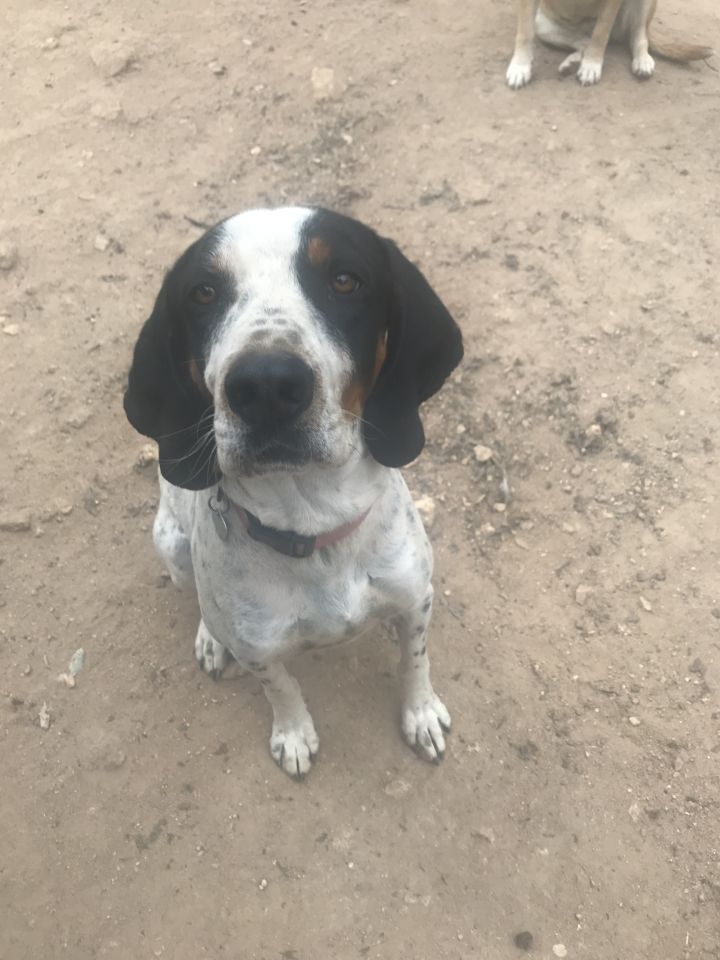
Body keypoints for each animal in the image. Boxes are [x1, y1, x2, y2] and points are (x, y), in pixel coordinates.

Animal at [123, 206, 462, 776]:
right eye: (203, 293)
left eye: (345, 280)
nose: (265, 385)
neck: (315, 523)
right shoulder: (258, 650)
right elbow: (280, 689)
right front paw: (294, 734)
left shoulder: (416, 598)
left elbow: (415, 661)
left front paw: (420, 713)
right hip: (170, 544)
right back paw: (210, 640)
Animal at [506, 0, 716, 89]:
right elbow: (524, 33)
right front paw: (519, 67)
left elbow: (601, 34)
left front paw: (591, 65)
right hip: (542, 23)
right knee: (583, 41)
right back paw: (571, 62)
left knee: (638, 36)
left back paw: (642, 61)